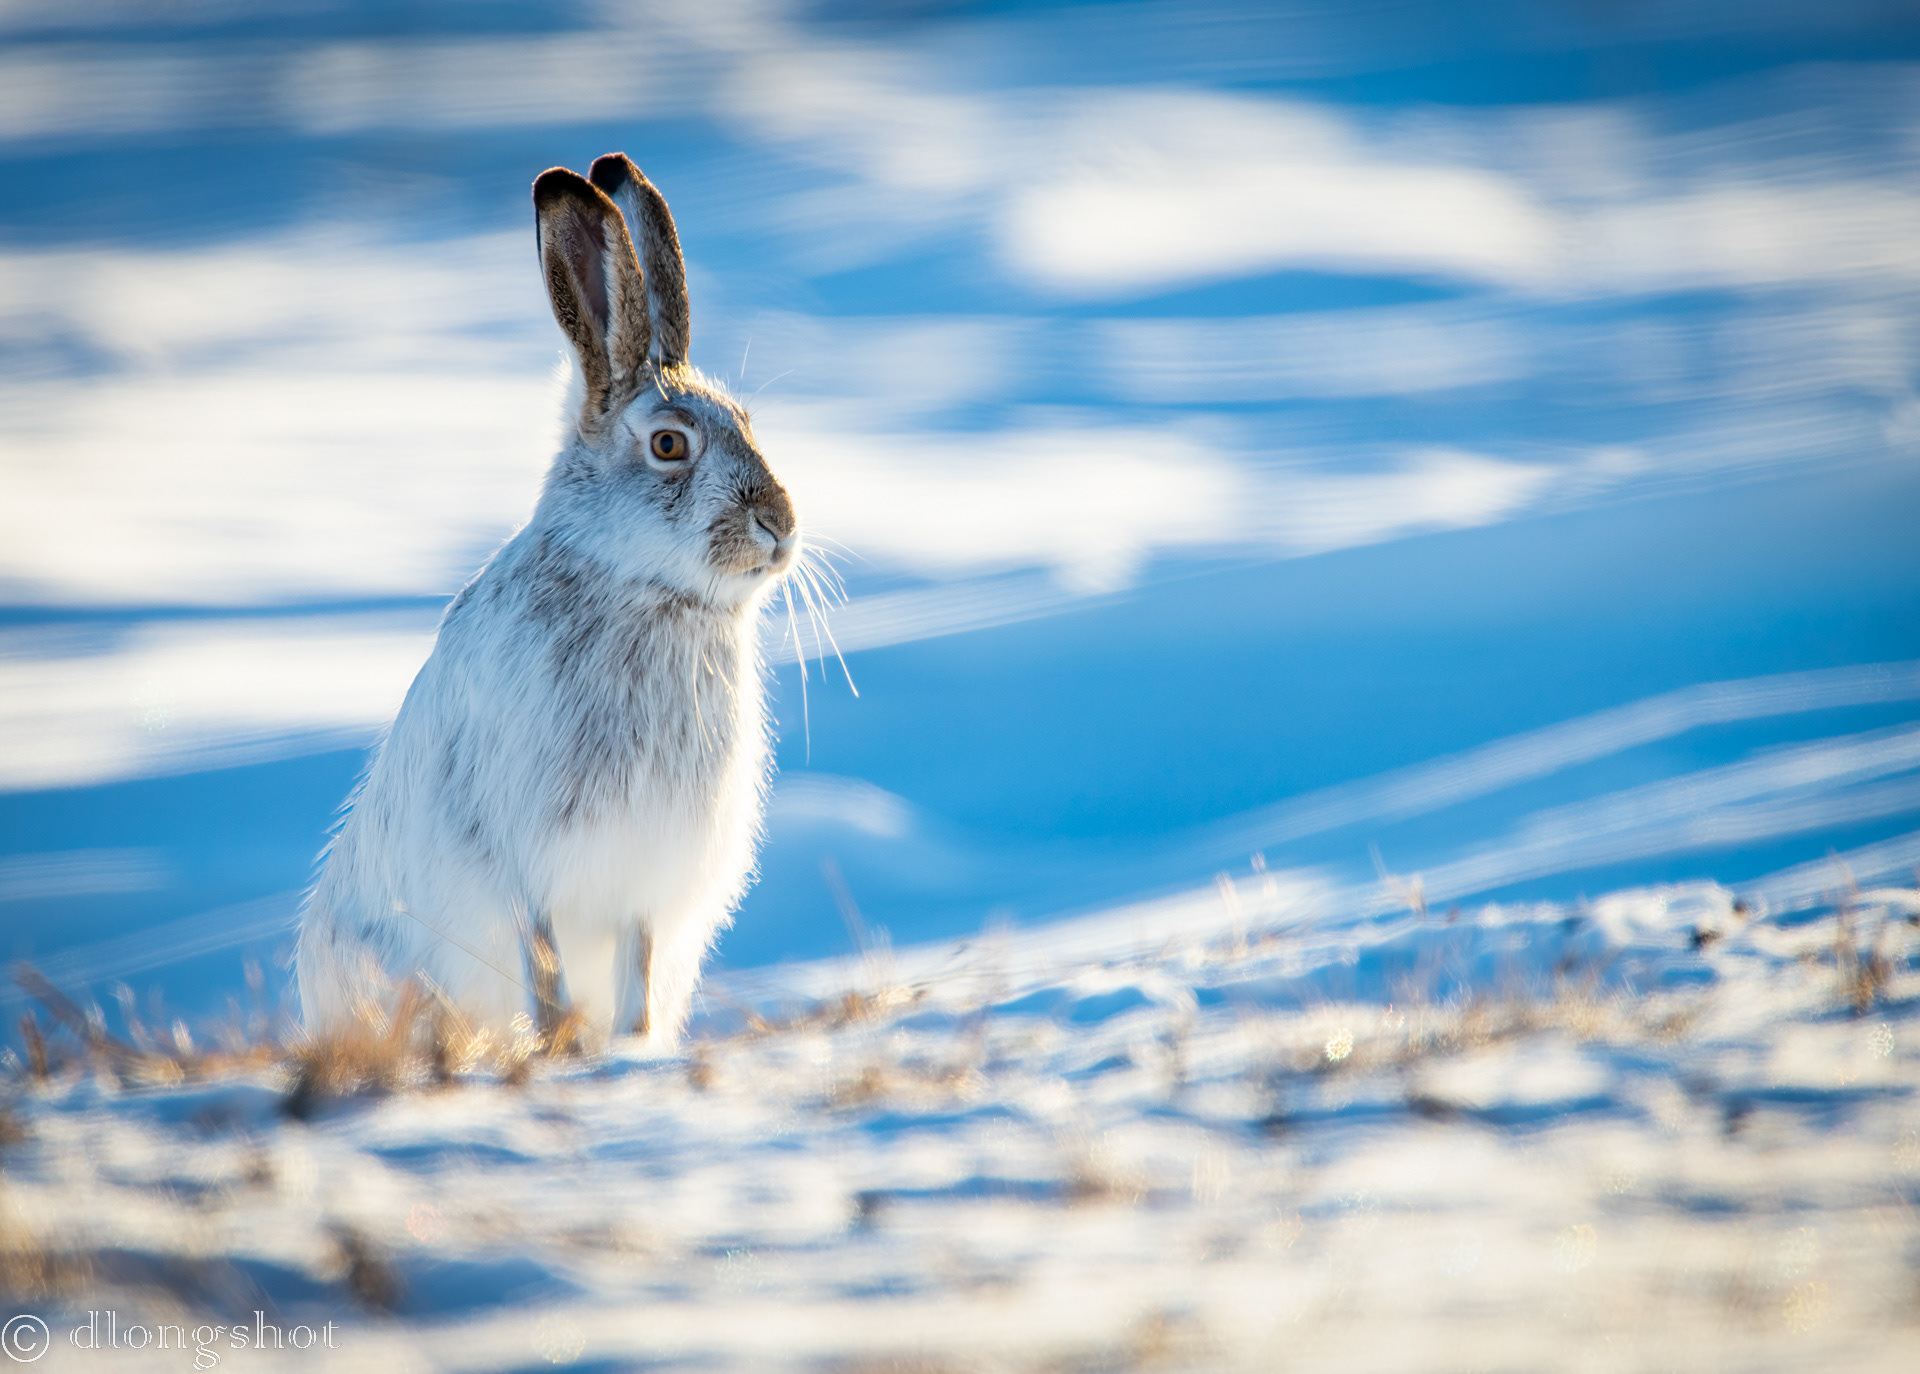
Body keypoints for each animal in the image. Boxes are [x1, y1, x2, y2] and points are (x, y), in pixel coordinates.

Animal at [296, 153, 800, 1052]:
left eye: (747, 420)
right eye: (669, 445)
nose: (780, 526)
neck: (646, 594)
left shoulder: (643, 884)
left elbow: (635, 970)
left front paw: (629, 1048)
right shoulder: (526, 871)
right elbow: (546, 972)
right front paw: (562, 1050)